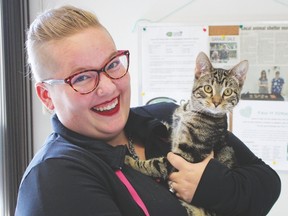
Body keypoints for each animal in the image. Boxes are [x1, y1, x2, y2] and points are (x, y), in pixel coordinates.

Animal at [125, 51, 249, 215]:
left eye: (227, 92)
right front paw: (147, 125)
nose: (216, 103)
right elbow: (165, 128)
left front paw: (130, 161)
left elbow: (153, 164)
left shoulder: (186, 154)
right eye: (208, 88)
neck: (191, 111)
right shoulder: (175, 130)